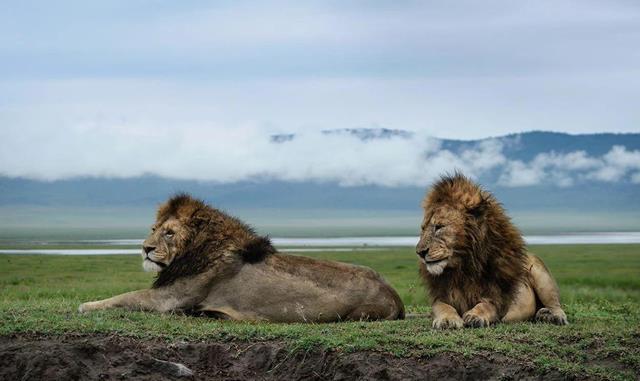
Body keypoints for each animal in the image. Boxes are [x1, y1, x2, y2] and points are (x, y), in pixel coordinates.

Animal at [77, 193, 402, 320]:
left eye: (169, 233)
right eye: (154, 229)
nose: (145, 247)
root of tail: (395, 295)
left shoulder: (169, 300)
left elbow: (126, 296)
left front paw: (86, 305)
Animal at [418, 174, 568, 328]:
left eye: (439, 227)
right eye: (423, 229)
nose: (420, 252)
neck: (463, 268)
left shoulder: (498, 299)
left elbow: (486, 305)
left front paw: (475, 316)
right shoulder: (440, 296)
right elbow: (443, 306)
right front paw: (447, 319)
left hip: (541, 274)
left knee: (555, 305)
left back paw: (554, 317)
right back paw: (542, 315)